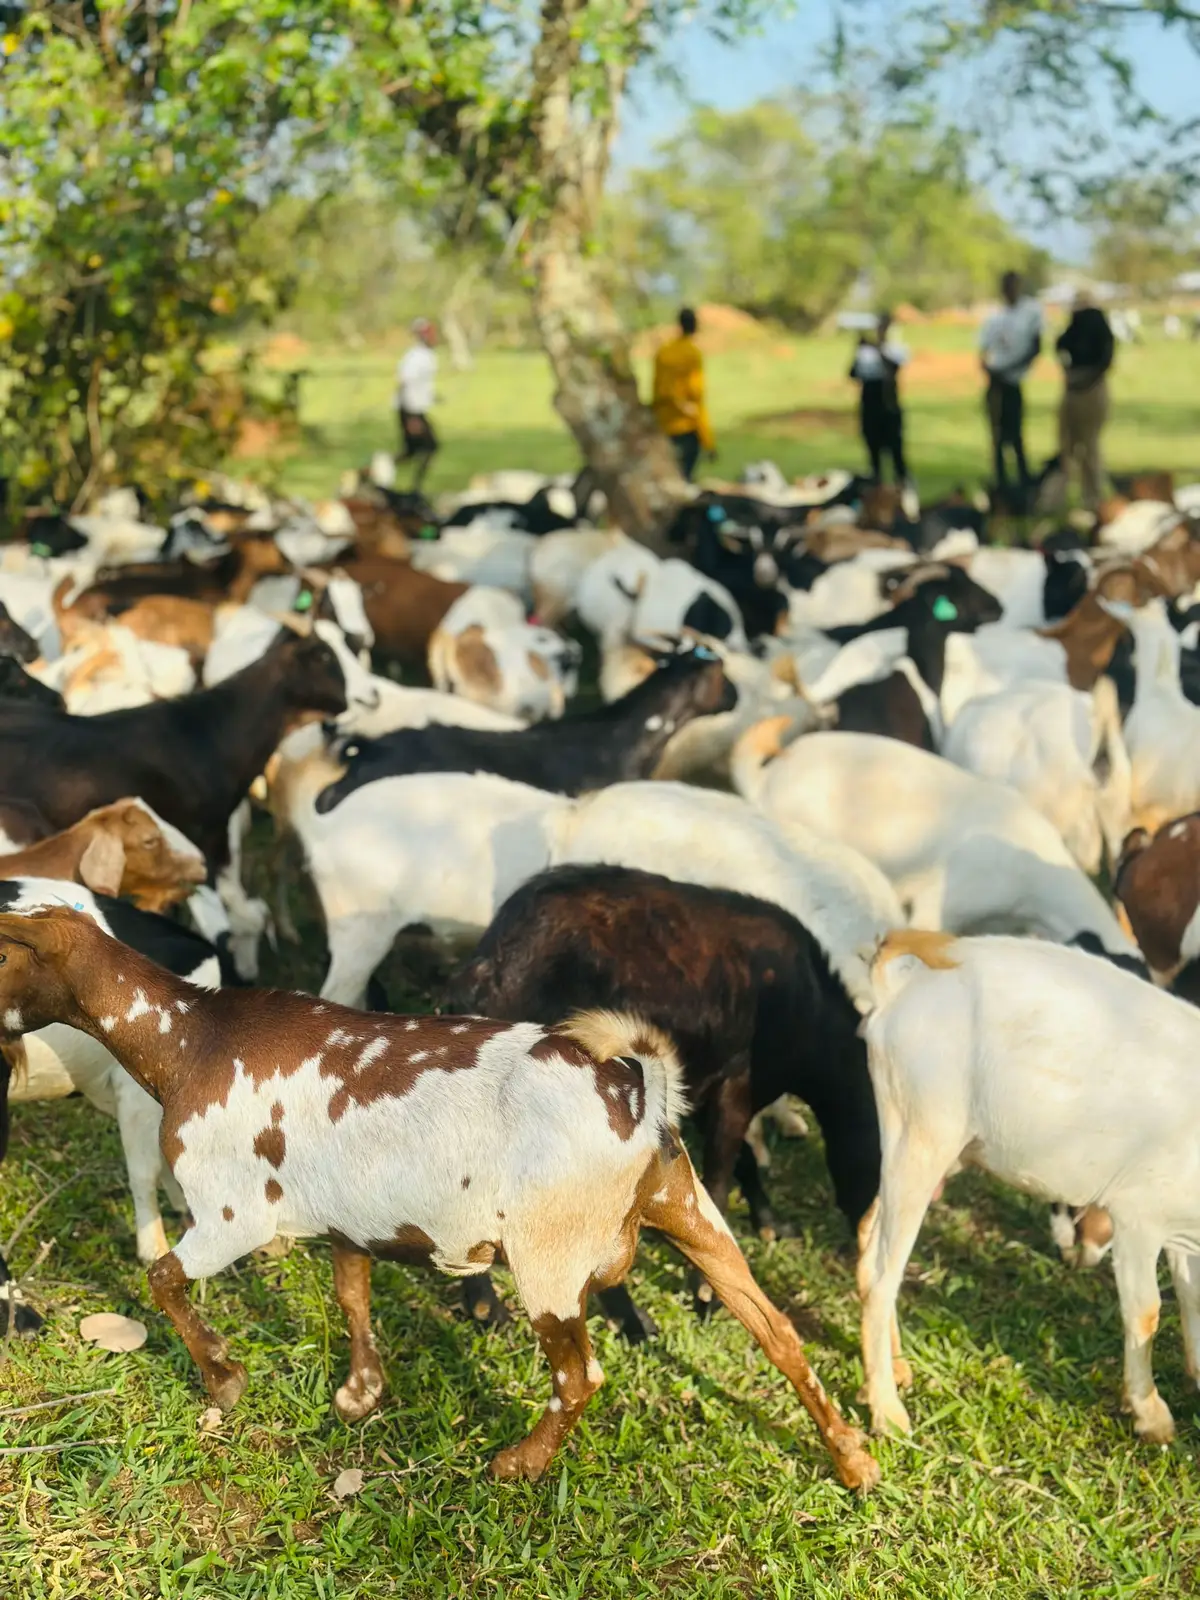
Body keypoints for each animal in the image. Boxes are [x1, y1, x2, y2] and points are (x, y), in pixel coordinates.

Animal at [0, 905, 878, 1491]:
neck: (191, 1037)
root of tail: (637, 1093)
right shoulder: (348, 1215)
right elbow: (351, 1292)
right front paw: (360, 1393)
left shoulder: (230, 1214)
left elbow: (163, 1279)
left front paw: (223, 1379)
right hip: (691, 1210)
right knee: (778, 1335)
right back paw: (855, 1460)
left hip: (551, 1256)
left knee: (580, 1376)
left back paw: (519, 1464)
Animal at [858, 929, 1200, 1448]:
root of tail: (903, 990)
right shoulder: (1139, 1215)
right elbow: (1146, 1312)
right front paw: (1151, 1416)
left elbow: (1191, 1299)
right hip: (920, 1136)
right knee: (883, 1274)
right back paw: (888, 1411)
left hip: (933, 1148)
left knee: (867, 1238)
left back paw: (896, 1370)